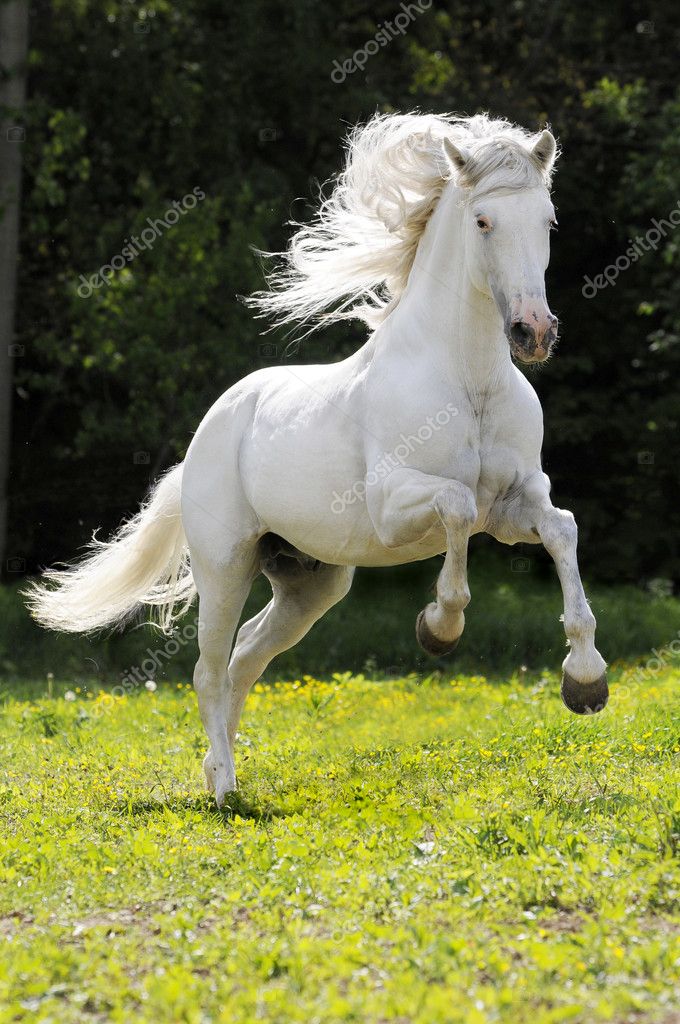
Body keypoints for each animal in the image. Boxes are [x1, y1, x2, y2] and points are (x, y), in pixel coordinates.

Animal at [26, 112, 608, 807]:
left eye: (548, 220)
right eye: (483, 221)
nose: (534, 332)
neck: (468, 381)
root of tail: (207, 434)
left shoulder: (517, 503)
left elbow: (561, 528)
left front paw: (585, 681)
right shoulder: (395, 506)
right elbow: (456, 507)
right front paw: (438, 628)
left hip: (309, 583)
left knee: (245, 659)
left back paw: (218, 769)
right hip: (226, 567)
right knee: (208, 670)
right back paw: (226, 792)